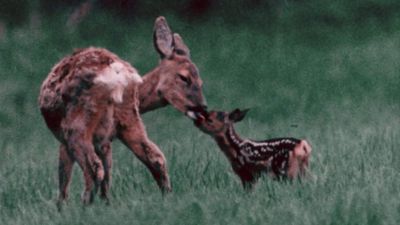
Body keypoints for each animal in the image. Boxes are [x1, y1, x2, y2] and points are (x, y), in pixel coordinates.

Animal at [38, 16, 206, 207]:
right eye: (184, 77)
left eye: (199, 81)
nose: (202, 107)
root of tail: (118, 75)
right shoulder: (105, 140)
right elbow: (107, 177)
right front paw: (106, 203)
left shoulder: (65, 140)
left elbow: (64, 178)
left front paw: (61, 207)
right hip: (129, 118)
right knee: (156, 158)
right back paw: (166, 196)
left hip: (75, 126)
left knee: (94, 168)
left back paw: (84, 205)